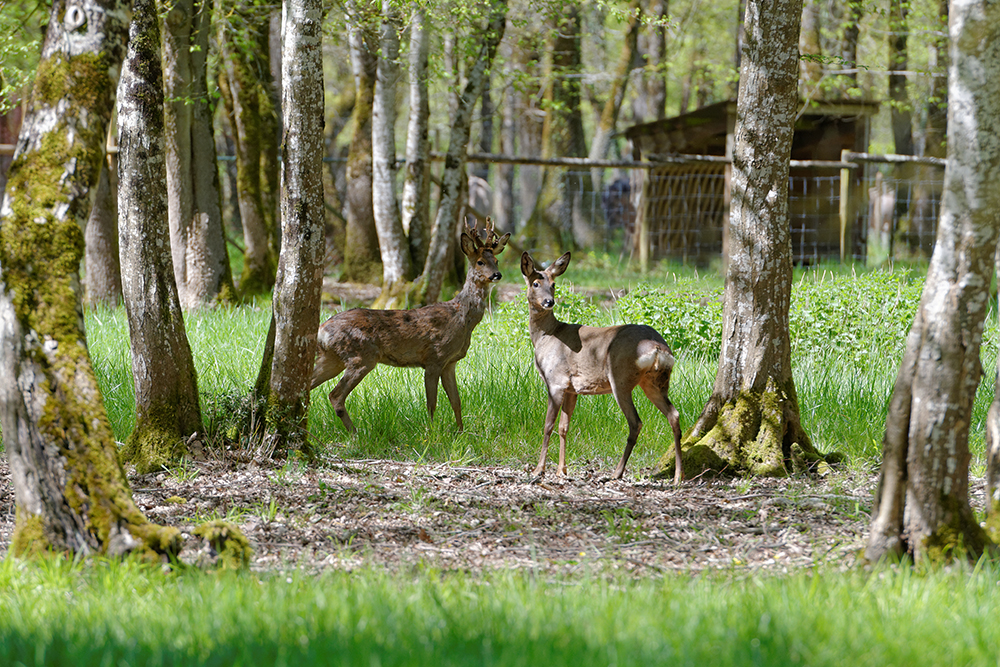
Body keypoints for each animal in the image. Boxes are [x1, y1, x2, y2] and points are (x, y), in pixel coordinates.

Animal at [310, 219, 508, 434]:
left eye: (496, 260)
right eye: (480, 261)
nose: (497, 275)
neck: (461, 318)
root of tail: (321, 330)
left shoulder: (450, 362)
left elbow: (456, 401)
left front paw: (461, 432)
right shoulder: (434, 358)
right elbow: (432, 403)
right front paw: (432, 432)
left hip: (332, 359)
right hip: (360, 356)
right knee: (335, 395)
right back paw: (355, 433)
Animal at [520, 253, 684, 482]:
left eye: (553, 284)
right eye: (535, 283)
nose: (549, 302)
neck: (546, 336)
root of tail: (658, 348)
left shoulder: (556, 381)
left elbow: (548, 426)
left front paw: (539, 469)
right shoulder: (572, 389)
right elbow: (564, 427)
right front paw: (562, 470)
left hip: (620, 377)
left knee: (636, 422)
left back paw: (617, 472)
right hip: (655, 381)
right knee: (674, 415)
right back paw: (678, 475)